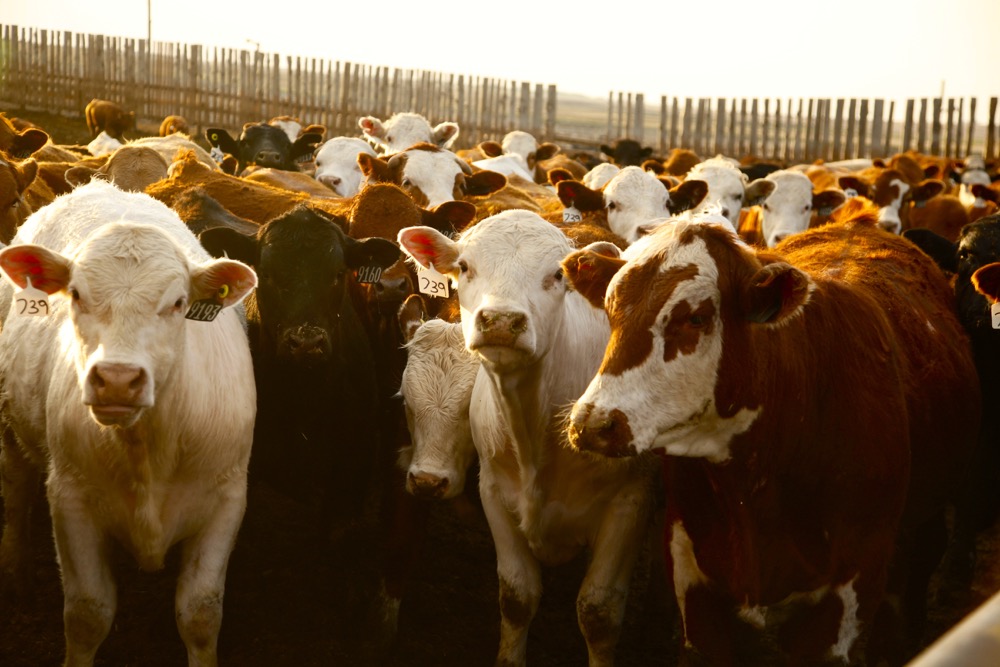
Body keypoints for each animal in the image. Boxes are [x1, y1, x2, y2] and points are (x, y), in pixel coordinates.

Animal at [0, 179, 258, 666]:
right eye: (76, 294)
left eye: (178, 303)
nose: (117, 379)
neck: (148, 446)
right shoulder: (71, 498)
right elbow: (87, 614)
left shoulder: (227, 497)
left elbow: (200, 613)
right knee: (15, 494)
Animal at [397, 210, 661, 666]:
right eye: (464, 266)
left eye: (557, 275)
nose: (502, 321)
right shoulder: (493, 491)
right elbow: (517, 597)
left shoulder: (630, 501)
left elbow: (598, 611)